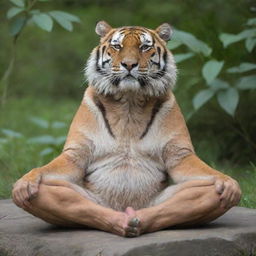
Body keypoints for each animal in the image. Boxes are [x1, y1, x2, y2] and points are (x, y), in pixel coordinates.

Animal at [12, 21, 240, 237]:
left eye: (144, 47)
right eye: (117, 46)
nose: (129, 64)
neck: (129, 101)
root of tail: (125, 209)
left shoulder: (179, 153)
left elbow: (203, 171)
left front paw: (229, 183)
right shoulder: (76, 152)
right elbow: (54, 168)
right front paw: (25, 182)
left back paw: (136, 220)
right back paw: (120, 221)